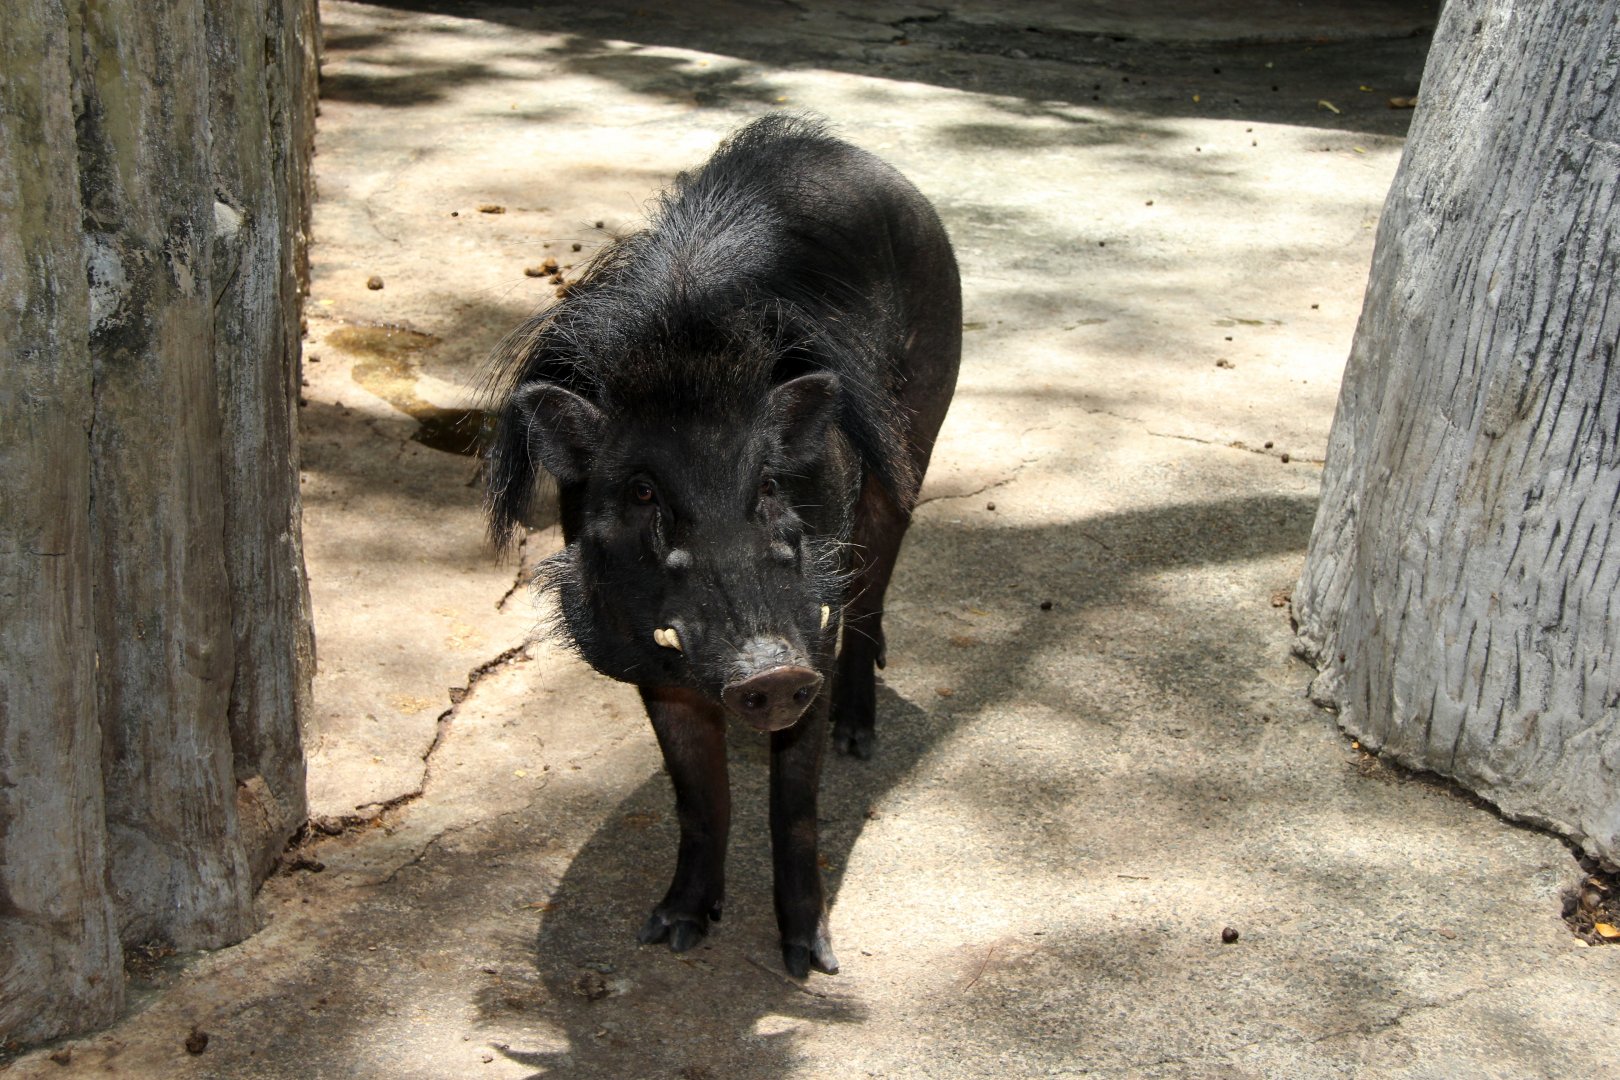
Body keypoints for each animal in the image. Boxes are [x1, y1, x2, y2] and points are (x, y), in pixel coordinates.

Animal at [484, 115, 960, 978]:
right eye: (643, 493)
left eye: (769, 483)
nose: (768, 672)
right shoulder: (649, 657)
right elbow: (698, 794)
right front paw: (671, 931)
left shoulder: (811, 625)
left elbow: (795, 804)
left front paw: (810, 963)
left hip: (915, 438)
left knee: (874, 589)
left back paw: (860, 739)